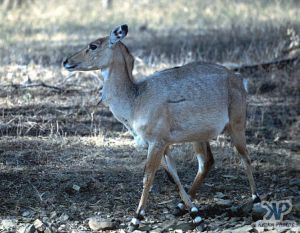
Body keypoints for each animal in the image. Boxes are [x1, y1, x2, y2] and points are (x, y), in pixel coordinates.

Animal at [63, 24, 260, 230]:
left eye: (93, 45)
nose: (66, 61)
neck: (136, 99)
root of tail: (239, 79)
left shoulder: (157, 142)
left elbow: (148, 176)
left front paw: (135, 219)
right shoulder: (161, 144)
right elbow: (173, 176)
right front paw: (196, 215)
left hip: (236, 124)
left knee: (244, 157)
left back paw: (256, 200)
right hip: (199, 136)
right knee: (206, 162)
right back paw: (180, 207)